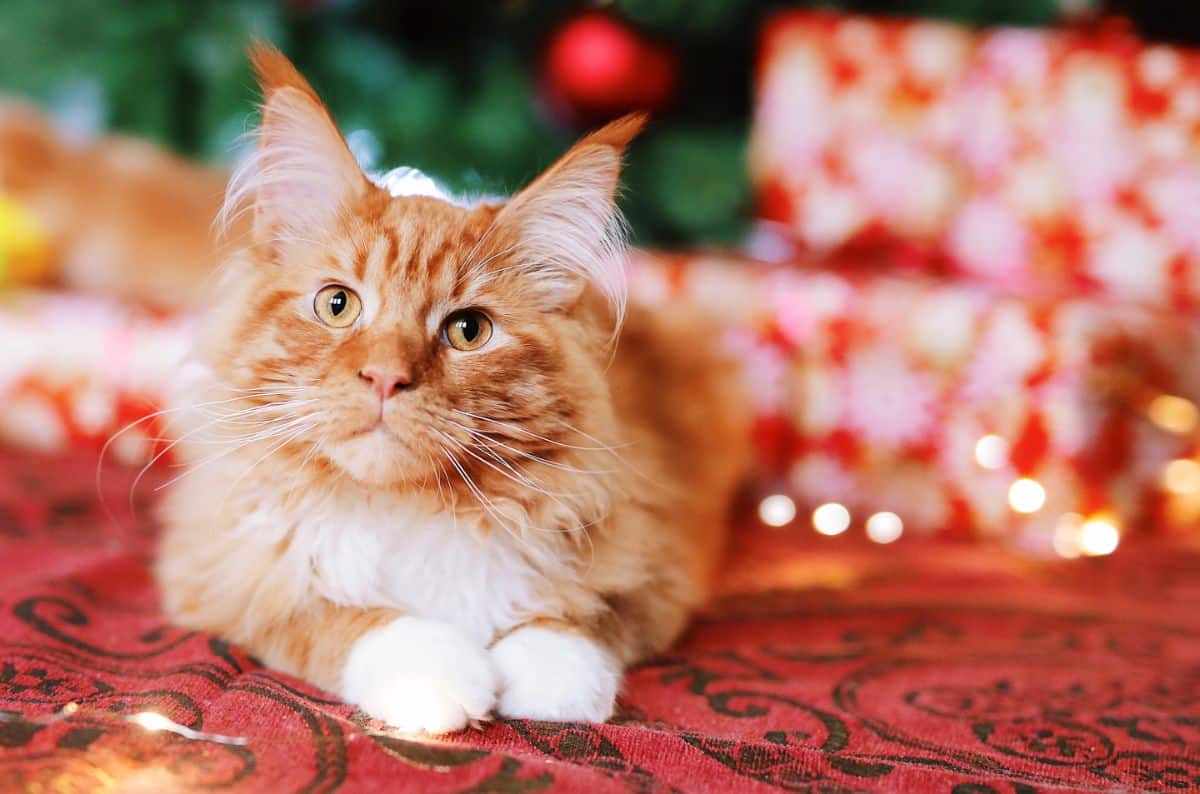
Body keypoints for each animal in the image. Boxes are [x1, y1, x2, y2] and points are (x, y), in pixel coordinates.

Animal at [154, 46, 744, 738]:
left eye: (469, 331)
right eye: (337, 305)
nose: (385, 376)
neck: (410, 509)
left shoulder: (660, 559)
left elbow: (583, 617)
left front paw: (549, 675)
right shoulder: (222, 572)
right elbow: (340, 619)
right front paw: (433, 676)